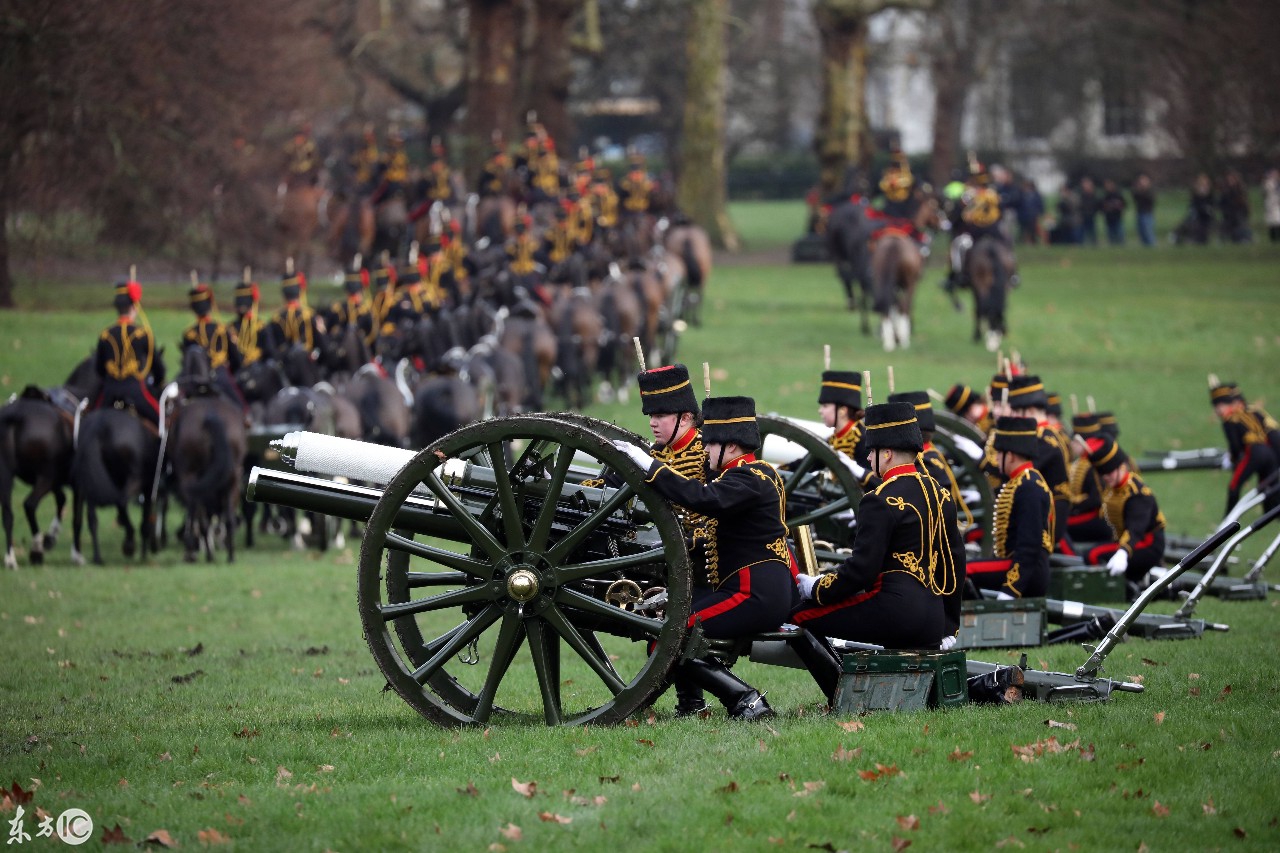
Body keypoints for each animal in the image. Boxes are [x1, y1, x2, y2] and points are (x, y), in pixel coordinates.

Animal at [167, 394, 247, 560]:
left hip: (190, 476)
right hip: (233, 477)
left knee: (199, 515)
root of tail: (211, 415)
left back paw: (203, 553)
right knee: (228, 519)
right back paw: (230, 556)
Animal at [860, 194, 942, 350]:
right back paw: (900, 339)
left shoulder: (894, 284)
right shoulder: (911, 283)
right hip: (908, 282)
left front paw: (893, 334)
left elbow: (894, 306)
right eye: (935, 207)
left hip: (881, 280)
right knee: (904, 305)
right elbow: (904, 306)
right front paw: (901, 335)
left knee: (885, 305)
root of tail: (894, 244)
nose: (942, 224)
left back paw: (888, 341)